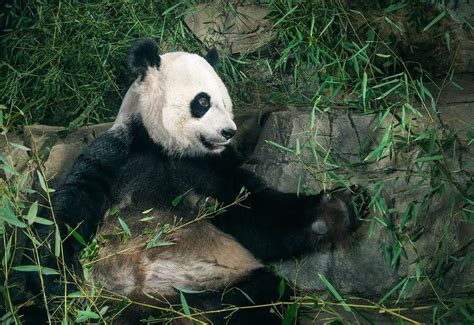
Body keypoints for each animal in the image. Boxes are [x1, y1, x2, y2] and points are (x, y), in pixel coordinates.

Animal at [31, 37, 364, 322]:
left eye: (227, 103)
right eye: (203, 101)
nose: (229, 131)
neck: (162, 147)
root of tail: (160, 306)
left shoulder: (211, 169)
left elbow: (256, 213)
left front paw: (336, 210)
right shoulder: (116, 155)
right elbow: (69, 214)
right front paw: (55, 283)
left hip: (218, 280)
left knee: (260, 298)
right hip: (114, 297)